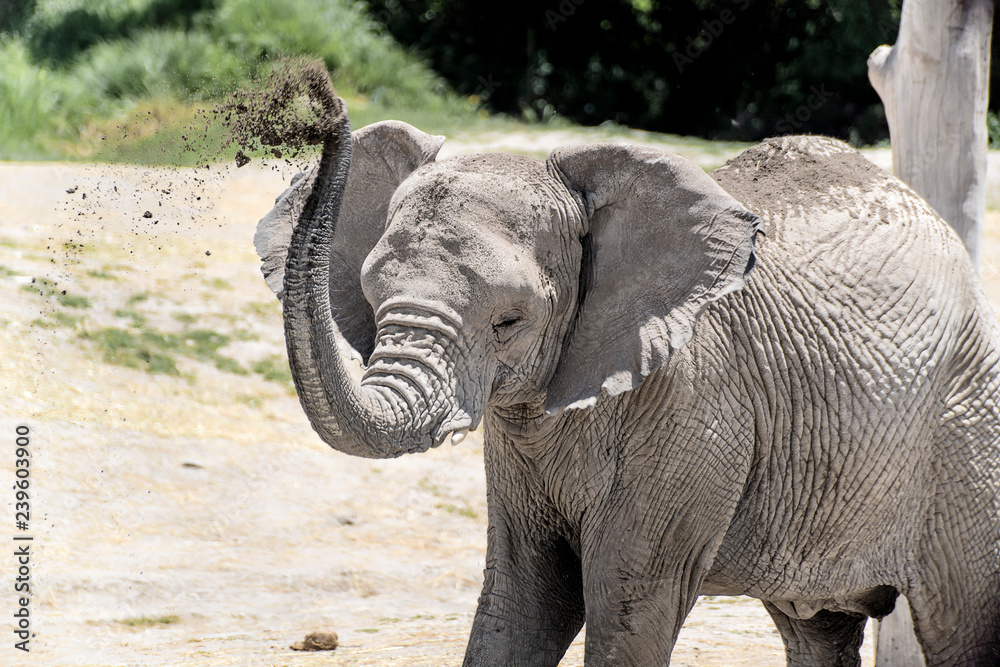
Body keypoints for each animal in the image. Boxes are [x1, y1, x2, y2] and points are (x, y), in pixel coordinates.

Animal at [253, 80, 1000, 666]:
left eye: (509, 321)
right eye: (372, 295)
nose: (324, 100)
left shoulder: (696, 404)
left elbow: (628, 604)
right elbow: (522, 597)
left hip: (964, 423)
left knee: (962, 624)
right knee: (815, 629)